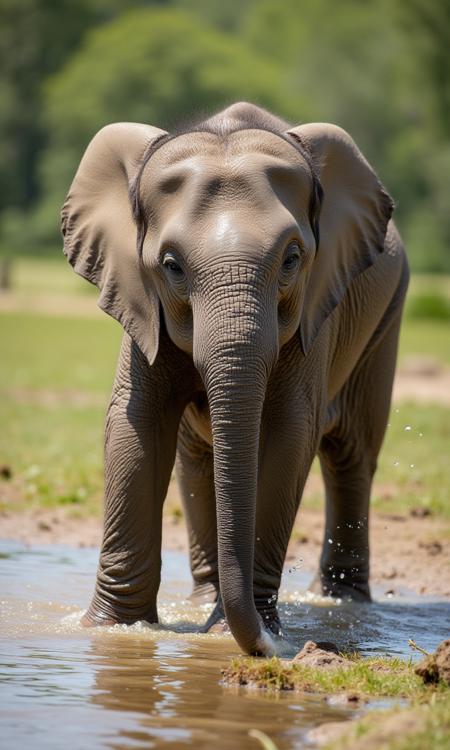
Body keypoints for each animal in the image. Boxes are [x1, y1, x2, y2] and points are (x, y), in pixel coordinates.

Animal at [61, 103, 410, 656]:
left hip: (387, 313)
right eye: (171, 266)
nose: (271, 648)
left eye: (292, 259)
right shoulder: (138, 299)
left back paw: (341, 604)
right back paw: (208, 601)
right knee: (195, 456)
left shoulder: (317, 306)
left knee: (351, 451)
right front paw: (112, 632)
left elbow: (291, 433)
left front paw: (232, 633)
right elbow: (135, 428)